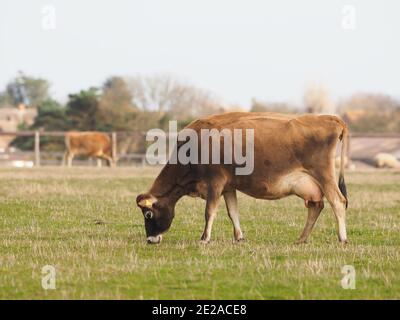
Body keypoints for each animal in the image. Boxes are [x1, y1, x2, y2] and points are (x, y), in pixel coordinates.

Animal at [136, 112, 348, 245]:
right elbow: (233, 212)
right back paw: (302, 238)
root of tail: (330, 118)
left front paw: (204, 238)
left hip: (325, 176)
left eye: (148, 214)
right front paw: (239, 237)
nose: (150, 240)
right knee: (316, 206)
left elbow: (209, 212)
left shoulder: (215, 183)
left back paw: (342, 238)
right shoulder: (229, 186)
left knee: (338, 202)